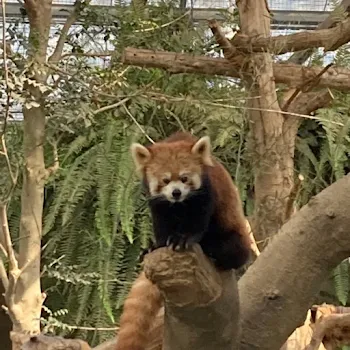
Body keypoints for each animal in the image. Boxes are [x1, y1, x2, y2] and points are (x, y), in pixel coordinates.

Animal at [115, 132, 252, 350]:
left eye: (184, 178)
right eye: (164, 180)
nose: (176, 192)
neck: (178, 205)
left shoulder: (205, 192)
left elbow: (198, 220)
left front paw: (184, 239)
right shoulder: (158, 204)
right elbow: (161, 223)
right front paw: (157, 245)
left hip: (234, 234)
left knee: (233, 250)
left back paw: (212, 249)